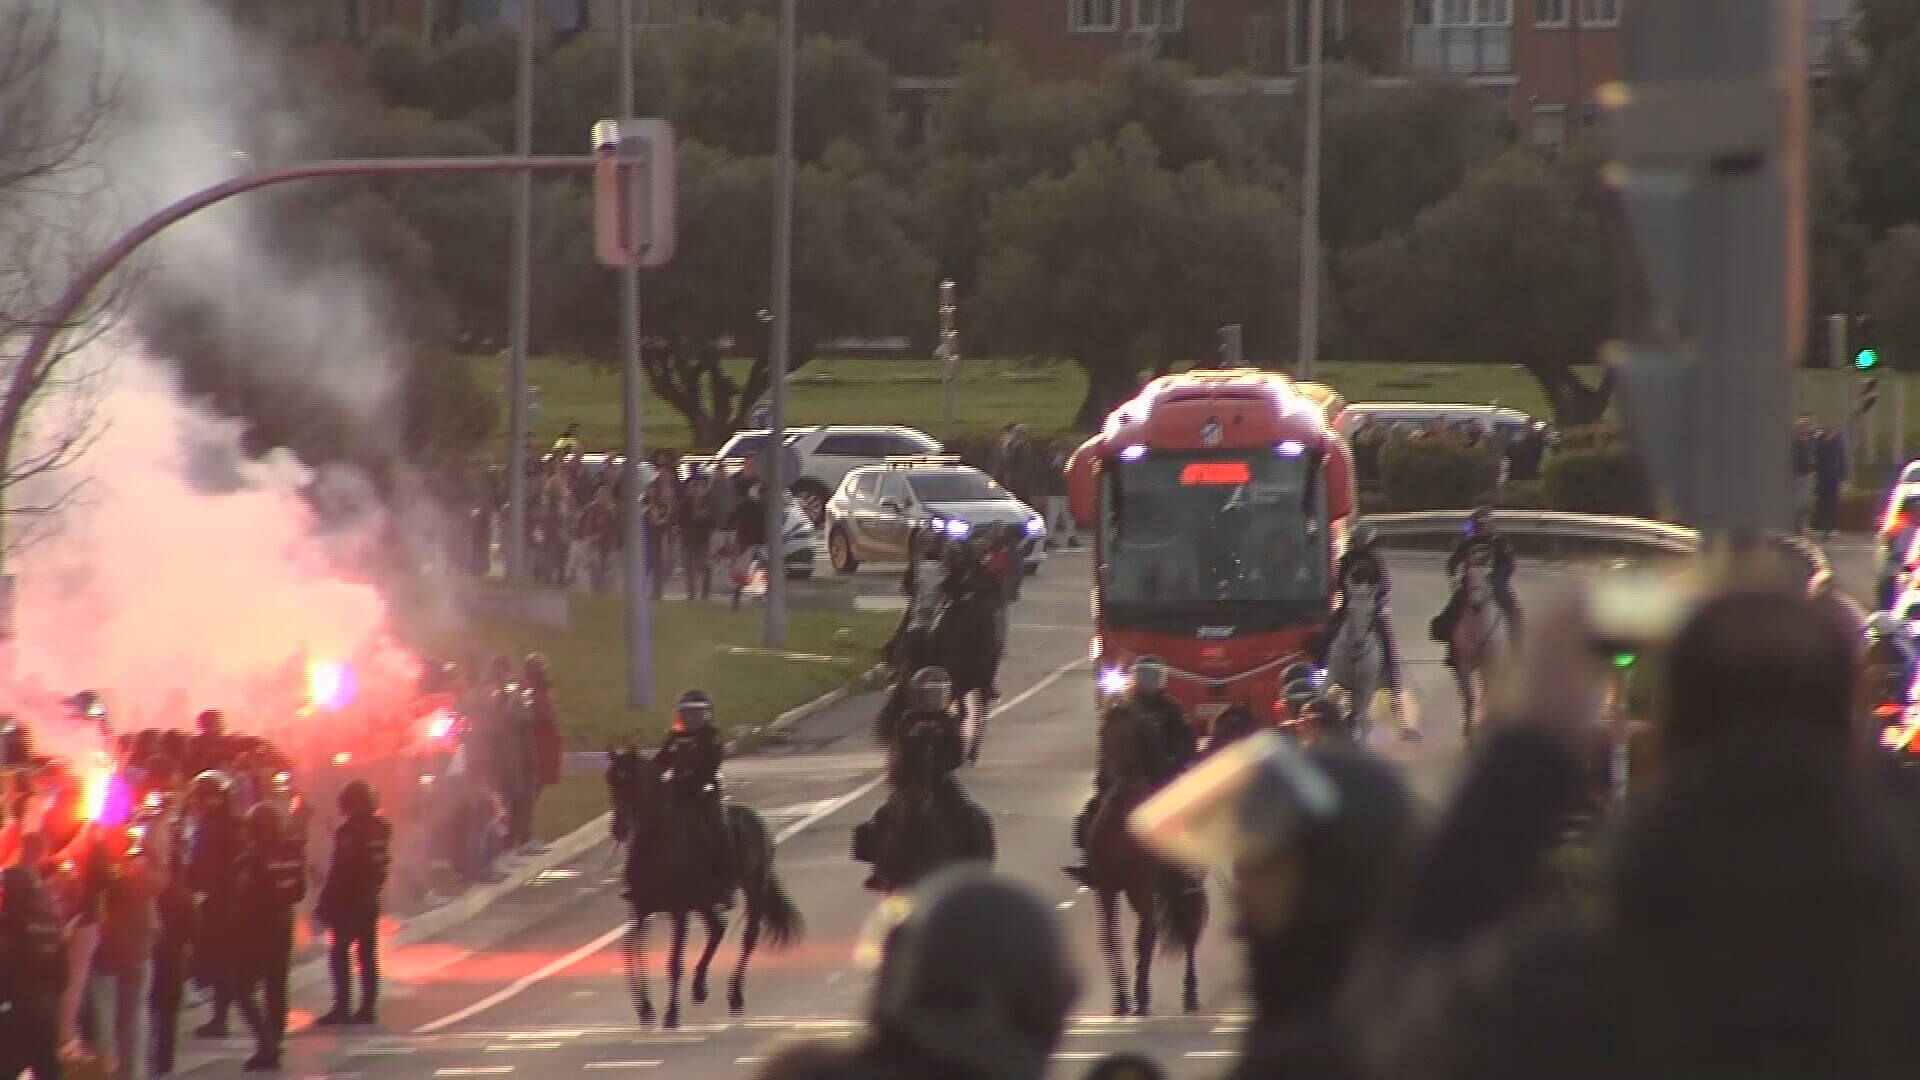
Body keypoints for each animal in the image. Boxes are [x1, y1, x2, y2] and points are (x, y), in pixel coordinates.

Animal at [606, 745, 802, 1030]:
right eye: (610, 780)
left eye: (635, 782)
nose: (619, 828)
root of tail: (756, 818)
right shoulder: (641, 910)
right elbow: (630, 951)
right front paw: (644, 1008)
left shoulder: (679, 912)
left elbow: (674, 962)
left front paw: (671, 1014)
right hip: (704, 902)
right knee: (717, 928)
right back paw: (699, 987)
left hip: (753, 887)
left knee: (748, 937)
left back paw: (734, 994)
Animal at [1082, 707, 1198, 1006]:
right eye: (1102, 733)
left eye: (1125, 737)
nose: (1105, 778)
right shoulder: (1107, 888)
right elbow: (1111, 938)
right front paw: (1120, 996)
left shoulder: (1141, 887)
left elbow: (1143, 937)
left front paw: (1140, 992)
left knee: (1185, 924)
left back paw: (1189, 990)